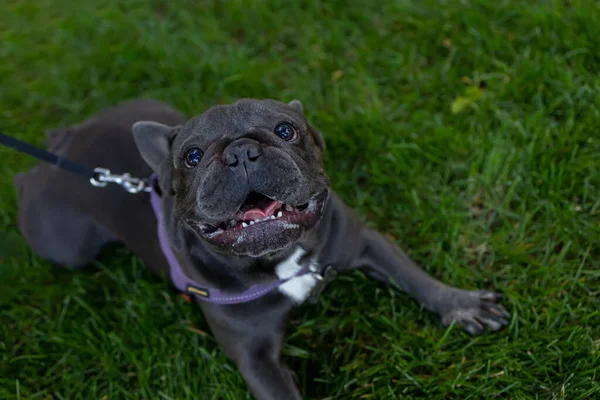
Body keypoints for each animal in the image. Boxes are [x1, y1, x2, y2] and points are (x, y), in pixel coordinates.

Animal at [14, 98, 508, 398]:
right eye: (193, 157)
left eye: (286, 130)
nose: (240, 153)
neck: (278, 259)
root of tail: (64, 145)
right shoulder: (256, 360)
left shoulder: (363, 241)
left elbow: (415, 278)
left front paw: (462, 305)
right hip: (65, 246)